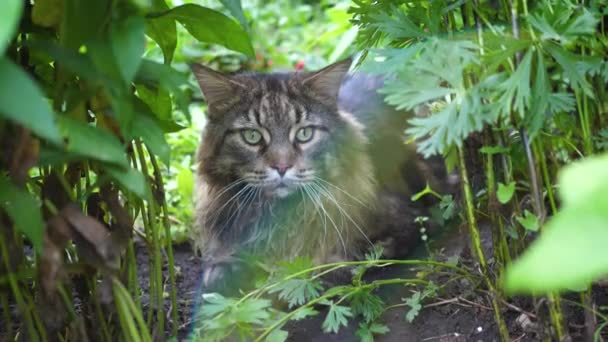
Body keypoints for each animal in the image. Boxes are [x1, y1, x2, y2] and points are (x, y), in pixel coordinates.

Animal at [190, 58, 452, 288]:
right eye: (252, 136)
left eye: (304, 134)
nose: (282, 167)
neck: (277, 214)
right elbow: (219, 269)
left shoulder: (411, 222)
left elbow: (334, 264)